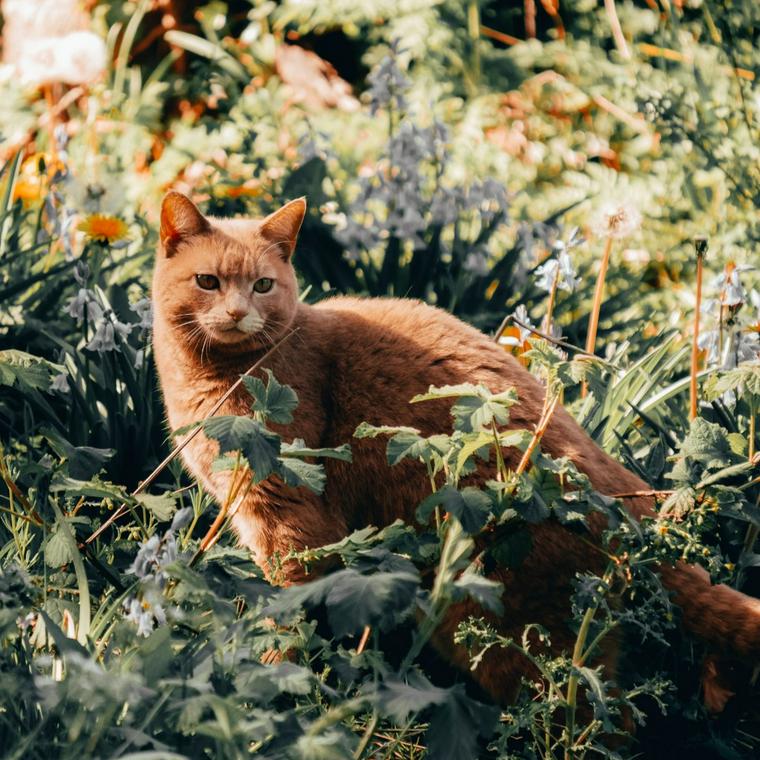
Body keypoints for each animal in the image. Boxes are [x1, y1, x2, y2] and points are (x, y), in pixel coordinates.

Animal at [151, 193, 760, 704]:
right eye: (207, 281)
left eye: (262, 285)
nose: (237, 311)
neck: (218, 379)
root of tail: (626, 498)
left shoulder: (290, 519)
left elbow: (285, 611)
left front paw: (266, 680)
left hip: (498, 625)